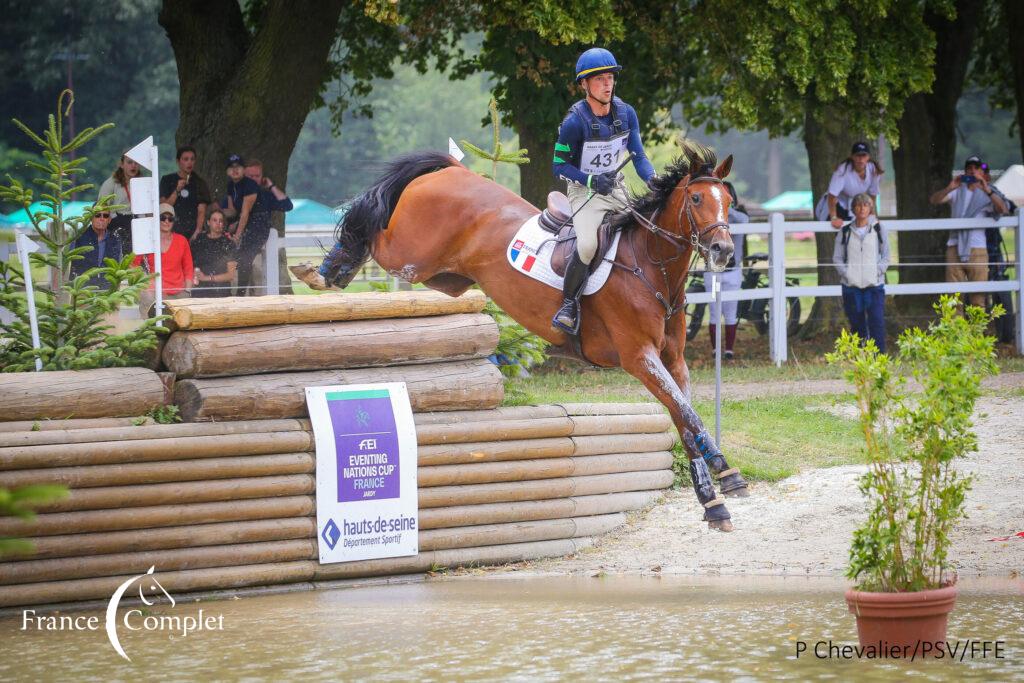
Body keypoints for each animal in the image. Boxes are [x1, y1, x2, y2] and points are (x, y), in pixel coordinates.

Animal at [331, 143, 749, 528]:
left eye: (728, 200)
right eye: (696, 198)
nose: (723, 250)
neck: (649, 266)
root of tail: (451, 171)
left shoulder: (672, 362)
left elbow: (683, 415)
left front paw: (713, 500)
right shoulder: (638, 358)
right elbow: (687, 413)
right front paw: (726, 471)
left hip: (445, 278)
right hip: (410, 256)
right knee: (371, 226)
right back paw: (332, 265)